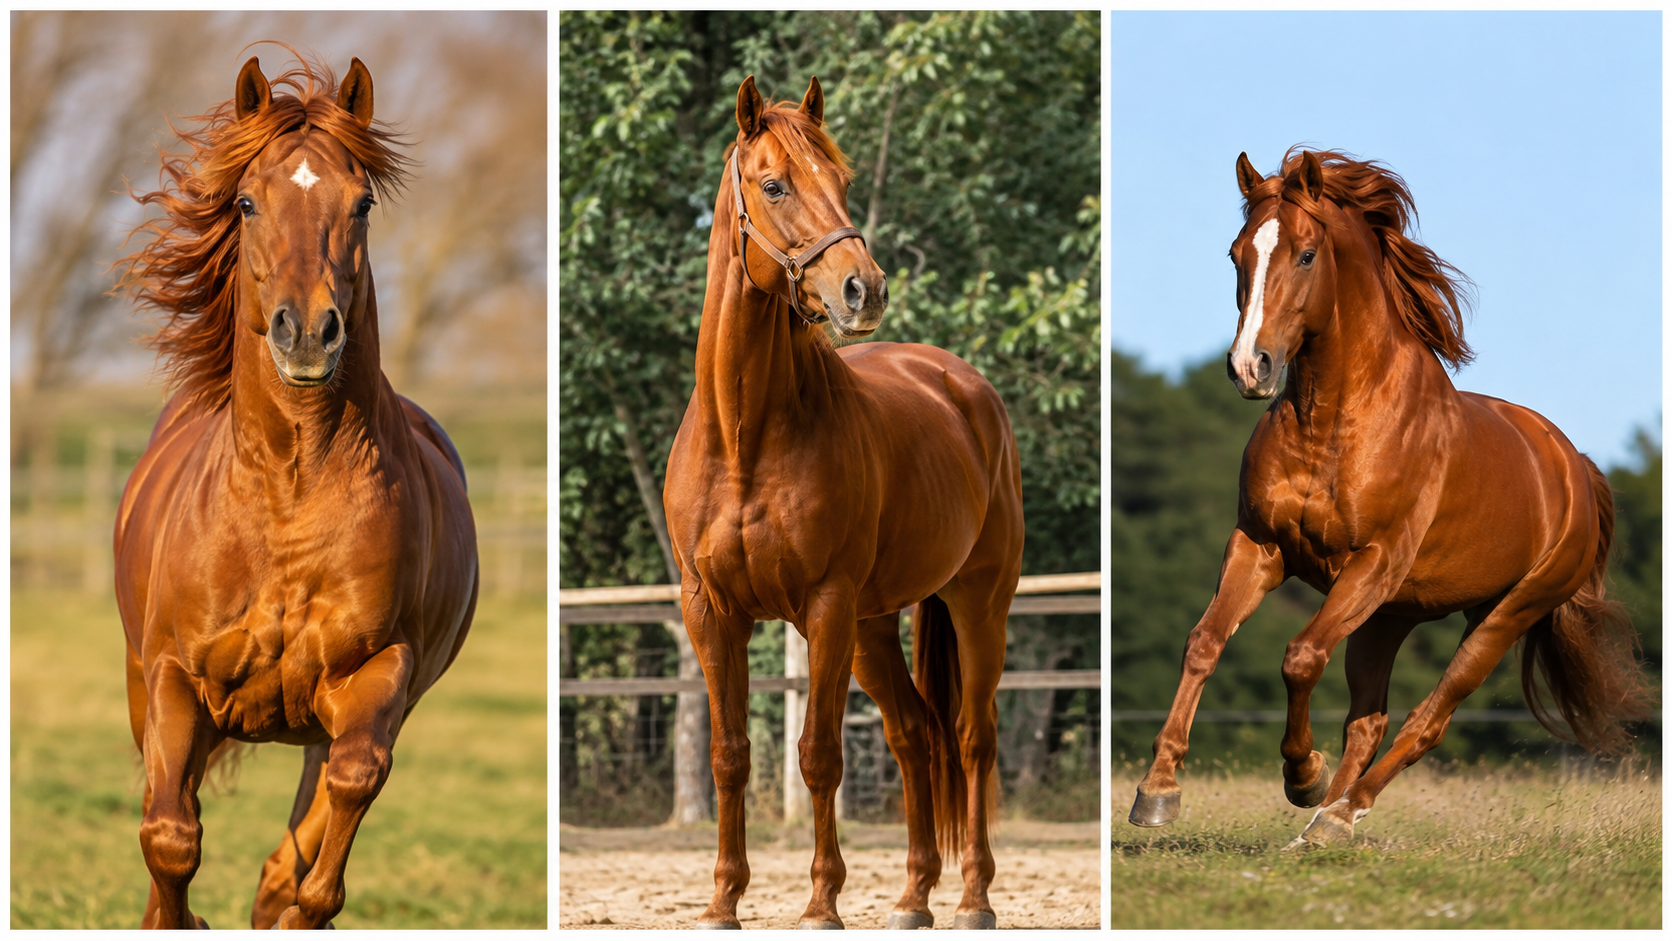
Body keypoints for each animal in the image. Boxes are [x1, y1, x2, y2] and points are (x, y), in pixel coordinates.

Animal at [115, 52, 478, 928]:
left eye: (362, 202)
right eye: (248, 202)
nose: (307, 332)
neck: (289, 498)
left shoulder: (377, 675)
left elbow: (345, 793)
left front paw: (302, 900)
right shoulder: (172, 678)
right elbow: (169, 833)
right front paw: (179, 915)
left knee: (314, 808)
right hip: (146, 688)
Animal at [662, 75, 1025, 929]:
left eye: (844, 180)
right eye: (773, 185)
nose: (865, 288)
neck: (745, 436)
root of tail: (964, 386)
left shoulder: (824, 604)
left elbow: (818, 754)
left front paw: (822, 902)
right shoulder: (710, 609)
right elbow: (731, 756)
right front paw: (722, 900)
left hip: (975, 601)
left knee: (971, 736)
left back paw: (973, 899)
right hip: (873, 626)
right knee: (914, 732)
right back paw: (913, 896)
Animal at [1129, 149, 1649, 846]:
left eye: (1306, 254)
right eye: (1237, 254)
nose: (1249, 367)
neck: (1335, 422)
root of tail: (1578, 472)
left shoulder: (1371, 562)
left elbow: (1300, 657)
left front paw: (1303, 775)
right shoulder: (1260, 546)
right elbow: (1204, 642)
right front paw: (1159, 790)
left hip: (1502, 616)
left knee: (1427, 719)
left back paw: (1337, 811)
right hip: (1388, 617)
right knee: (1369, 721)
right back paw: (1317, 828)